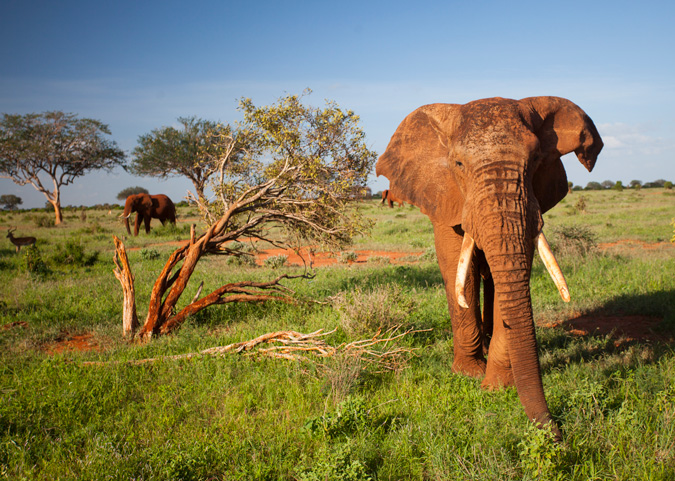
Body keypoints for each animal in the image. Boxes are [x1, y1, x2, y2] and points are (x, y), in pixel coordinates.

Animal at [378, 95, 604, 436]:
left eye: (536, 159)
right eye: (458, 164)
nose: (556, 432)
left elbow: (510, 278)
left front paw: (497, 386)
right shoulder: (445, 196)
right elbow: (458, 268)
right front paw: (468, 374)